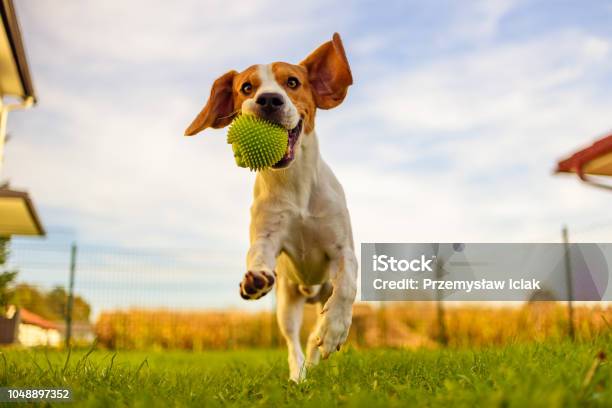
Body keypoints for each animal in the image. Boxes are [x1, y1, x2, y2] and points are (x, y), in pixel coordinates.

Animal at [186, 33, 358, 380]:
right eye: (246, 87)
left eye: (292, 82)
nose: (268, 100)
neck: (295, 185)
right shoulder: (267, 236)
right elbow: (257, 254)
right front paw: (254, 278)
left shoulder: (343, 249)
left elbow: (347, 285)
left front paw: (334, 330)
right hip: (286, 303)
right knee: (293, 342)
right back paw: (298, 375)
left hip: (321, 287)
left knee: (317, 323)